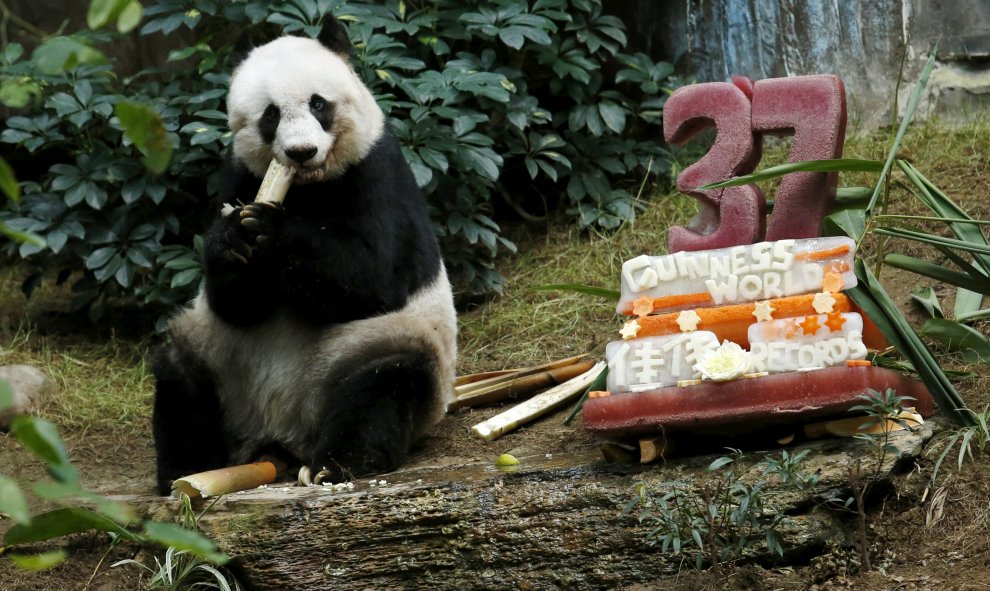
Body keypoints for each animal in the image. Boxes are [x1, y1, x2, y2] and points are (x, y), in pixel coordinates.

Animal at [152, 16, 462, 498]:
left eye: (319, 104)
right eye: (271, 115)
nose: (301, 151)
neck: (308, 187)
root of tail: (280, 436)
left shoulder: (378, 172)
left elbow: (374, 278)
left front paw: (270, 231)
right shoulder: (240, 173)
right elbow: (233, 304)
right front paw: (232, 239)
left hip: (371, 346)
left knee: (385, 384)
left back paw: (337, 464)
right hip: (220, 358)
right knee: (180, 375)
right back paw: (185, 470)